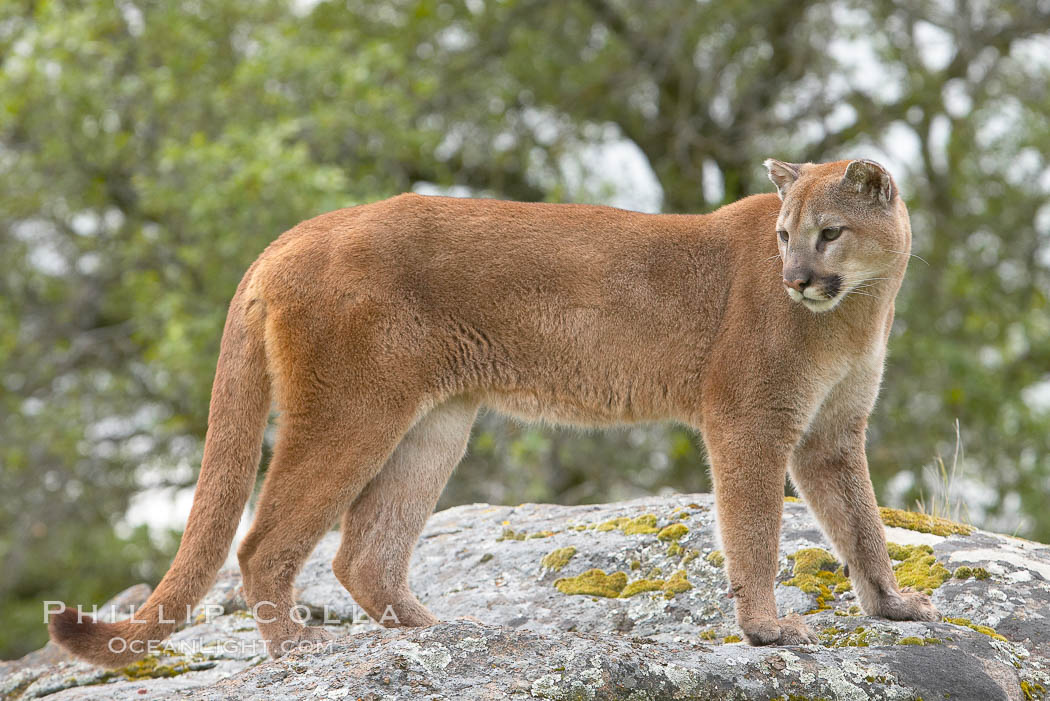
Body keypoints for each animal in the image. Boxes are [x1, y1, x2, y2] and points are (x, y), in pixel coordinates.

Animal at [49, 156, 940, 667]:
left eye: (829, 232)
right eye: (785, 233)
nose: (795, 279)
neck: (861, 305)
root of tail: (293, 234)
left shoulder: (830, 434)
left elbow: (862, 524)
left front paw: (894, 606)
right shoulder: (750, 420)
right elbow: (755, 528)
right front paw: (766, 629)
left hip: (433, 423)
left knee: (364, 552)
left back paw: (431, 631)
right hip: (352, 411)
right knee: (264, 540)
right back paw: (299, 644)